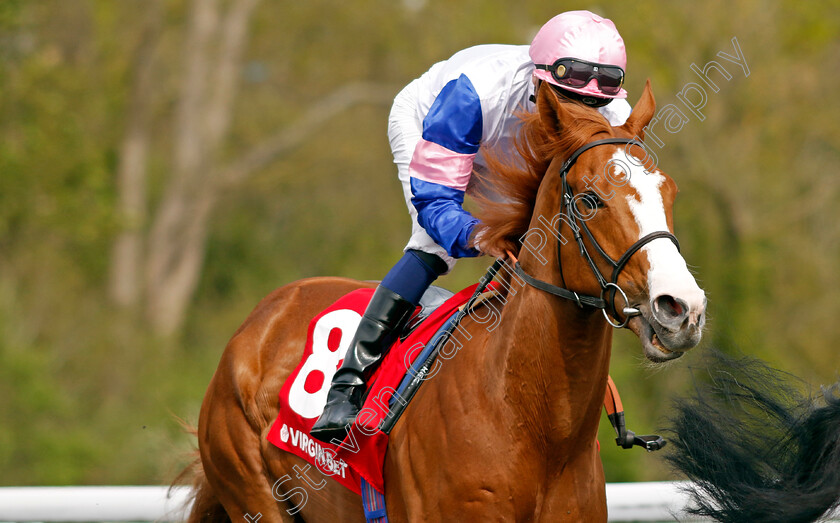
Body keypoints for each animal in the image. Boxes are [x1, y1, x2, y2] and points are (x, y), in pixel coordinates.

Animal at [187, 80, 704, 520]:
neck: (534, 427)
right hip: (251, 488)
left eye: (670, 191)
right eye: (590, 200)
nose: (682, 308)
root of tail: (263, 316)